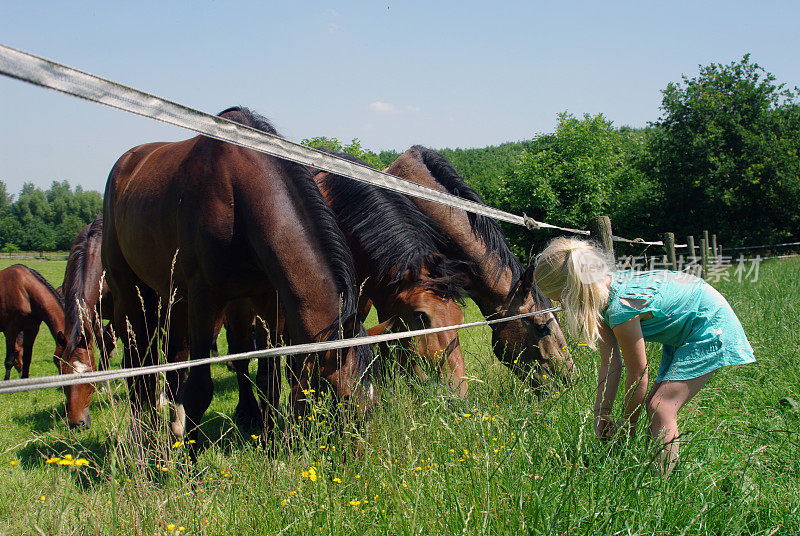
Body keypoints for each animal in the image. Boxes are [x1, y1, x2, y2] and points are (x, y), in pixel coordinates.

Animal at [55, 214, 117, 428]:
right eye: (62, 372)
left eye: (89, 374)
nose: (77, 422)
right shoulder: (95, 314)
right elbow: (103, 344)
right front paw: (105, 386)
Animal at [102, 107, 378, 442]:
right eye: (346, 398)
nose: (364, 451)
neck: (238, 193)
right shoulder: (205, 300)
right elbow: (200, 389)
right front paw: (190, 455)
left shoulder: (268, 300)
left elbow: (270, 379)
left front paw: (272, 443)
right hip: (130, 291)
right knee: (138, 365)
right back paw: (146, 439)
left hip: (172, 298)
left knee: (172, 361)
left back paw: (172, 428)